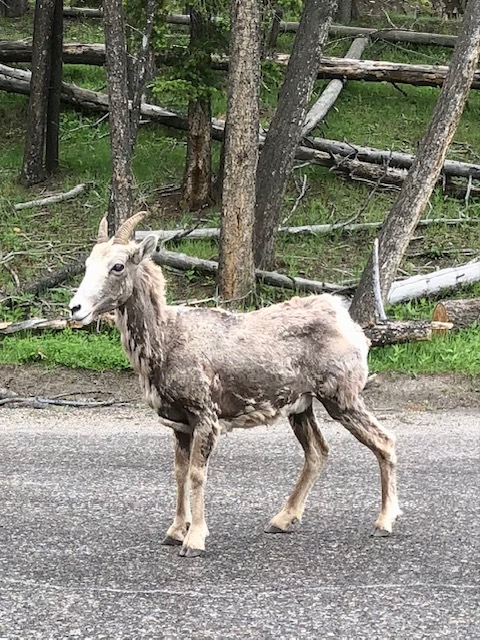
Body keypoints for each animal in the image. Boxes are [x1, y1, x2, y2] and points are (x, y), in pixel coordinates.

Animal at [69, 212, 401, 557]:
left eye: (118, 265)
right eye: (88, 263)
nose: (75, 309)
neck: (167, 341)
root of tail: (353, 330)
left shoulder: (205, 417)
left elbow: (197, 475)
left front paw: (194, 540)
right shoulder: (179, 423)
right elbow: (179, 473)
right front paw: (174, 532)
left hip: (342, 397)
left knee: (384, 441)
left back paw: (383, 523)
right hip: (302, 406)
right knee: (318, 452)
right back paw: (282, 520)